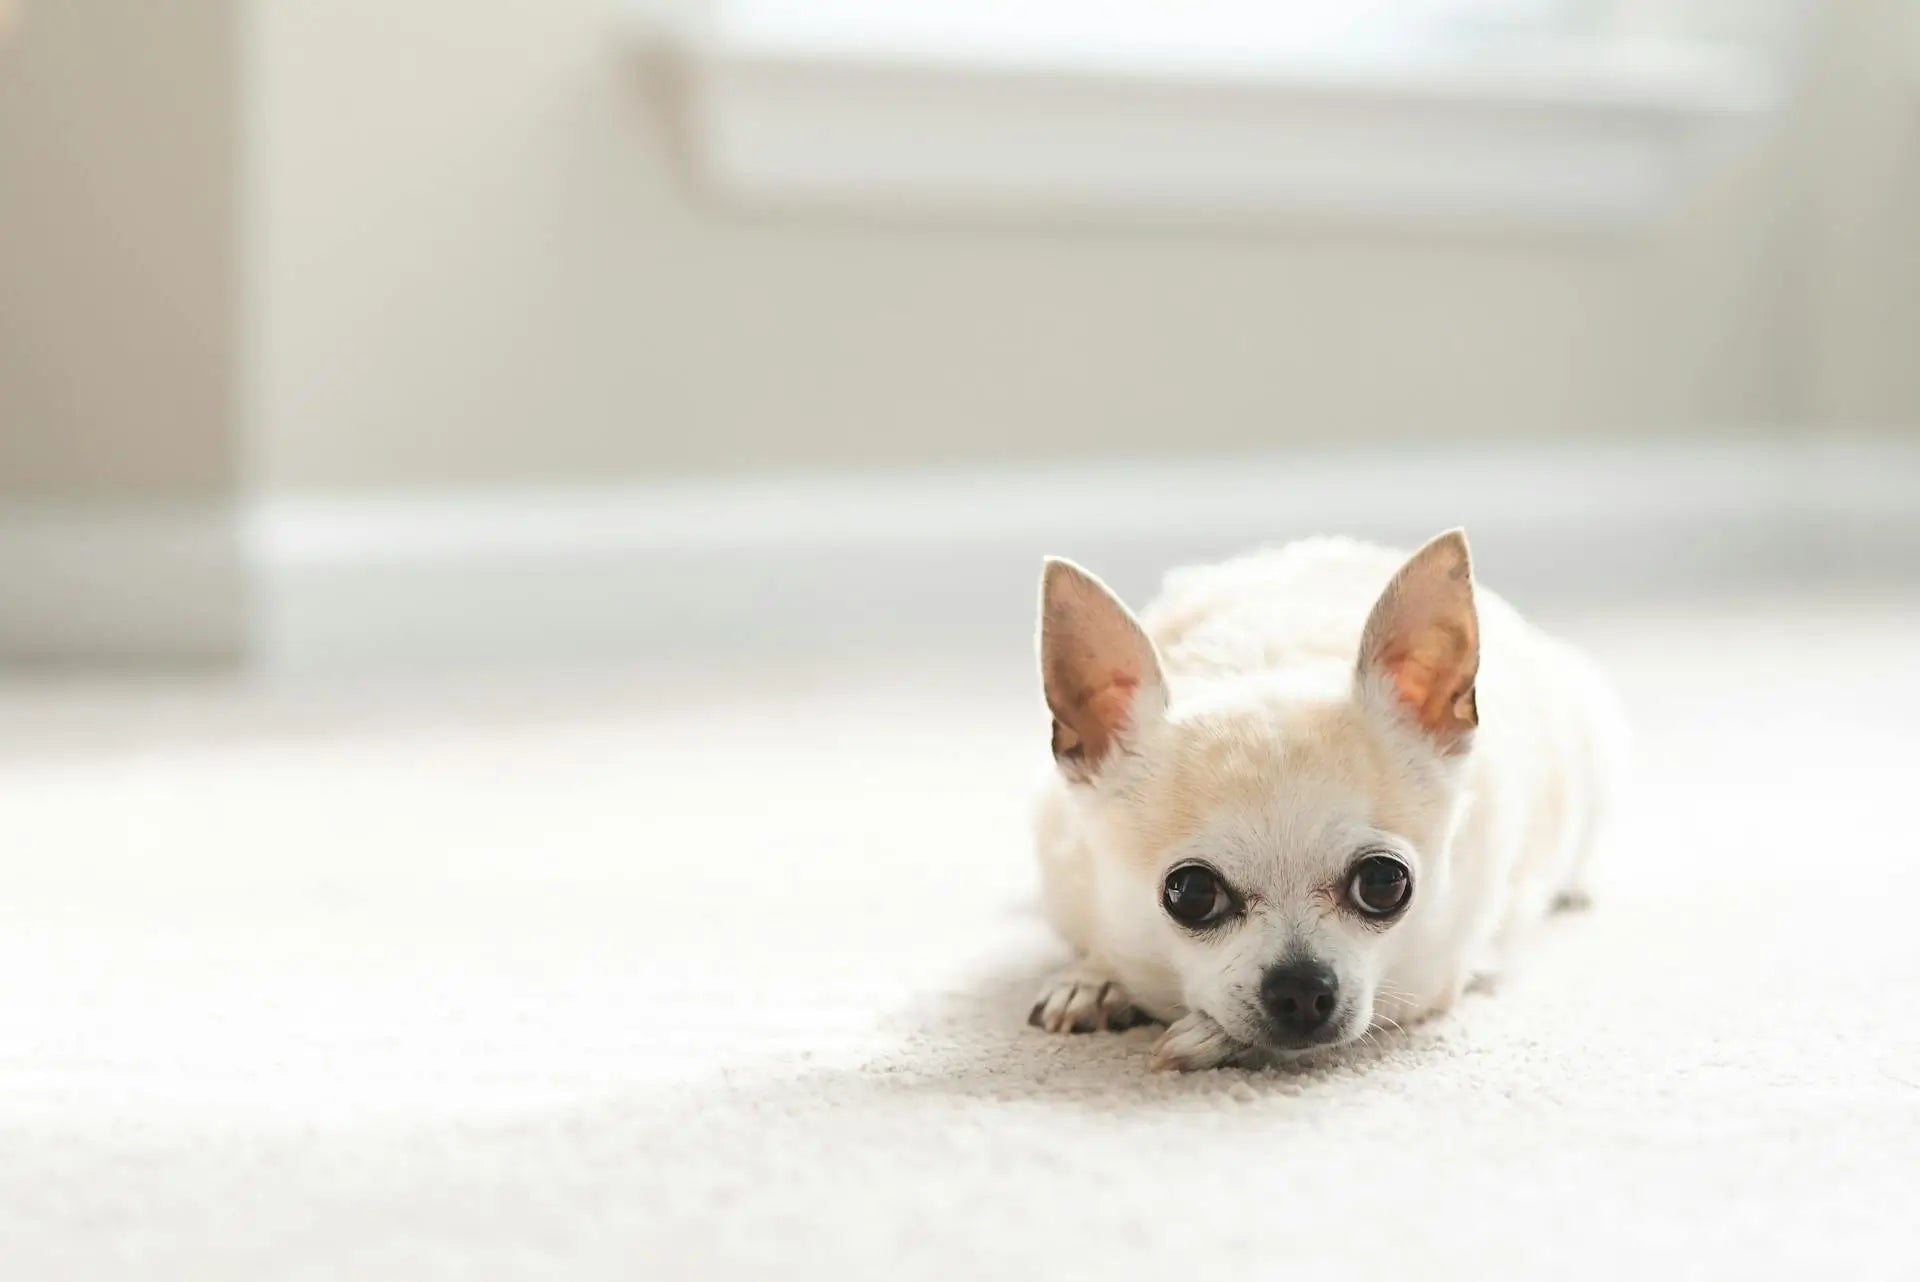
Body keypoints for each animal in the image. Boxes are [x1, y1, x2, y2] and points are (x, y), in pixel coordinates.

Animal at [1029, 529, 1628, 1074]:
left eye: (1384, 883)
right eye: (1192, 893)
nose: (1300, 988)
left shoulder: (1432, 975)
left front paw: (1205, 1035)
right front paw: (1094, 979)